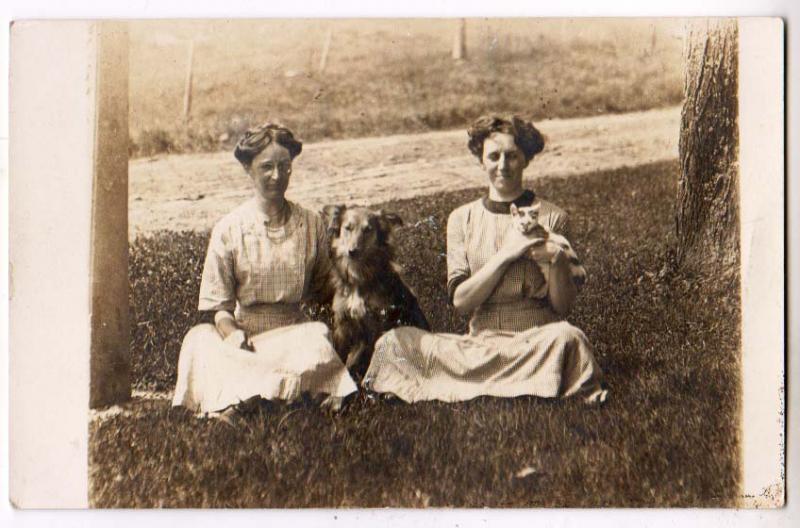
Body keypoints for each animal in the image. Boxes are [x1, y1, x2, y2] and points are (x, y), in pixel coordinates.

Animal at [322, 203, 432, 380]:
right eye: (348, 228)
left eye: (368, 230)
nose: (352, 251)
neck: (360, 278)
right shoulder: (342, 325)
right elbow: (340, 357)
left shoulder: (376, 326)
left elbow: (366, 362)